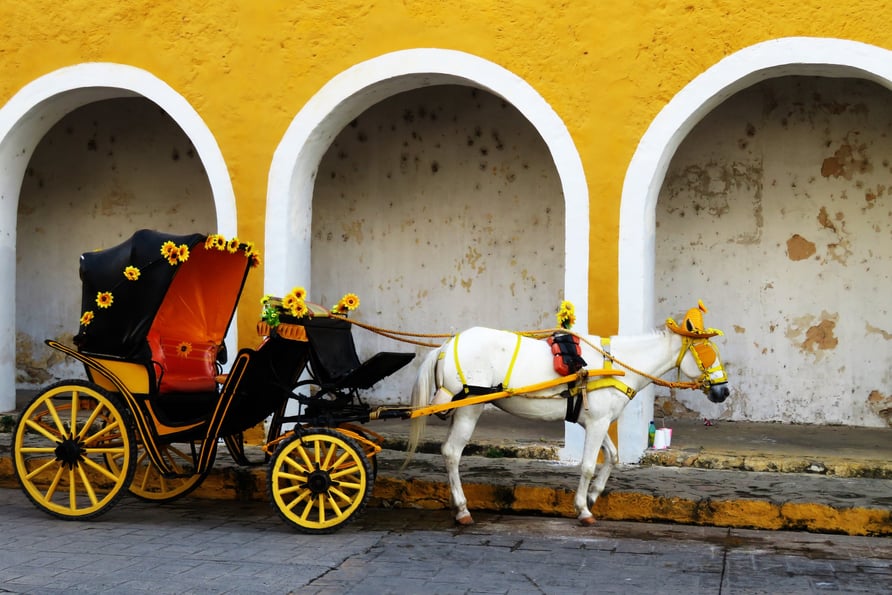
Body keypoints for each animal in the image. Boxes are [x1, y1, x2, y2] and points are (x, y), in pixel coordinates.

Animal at [408, 312, 728, 528]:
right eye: (706, 352)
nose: (723, 391)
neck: (616, 364)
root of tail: (446, 347)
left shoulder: (598, 421)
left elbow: (612, 457)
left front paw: (594, 496)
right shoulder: (597, 423)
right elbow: (587, 465)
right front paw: (583, 510)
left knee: (448, 452)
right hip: (469, 408)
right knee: (452, 452)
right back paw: (463, 510)